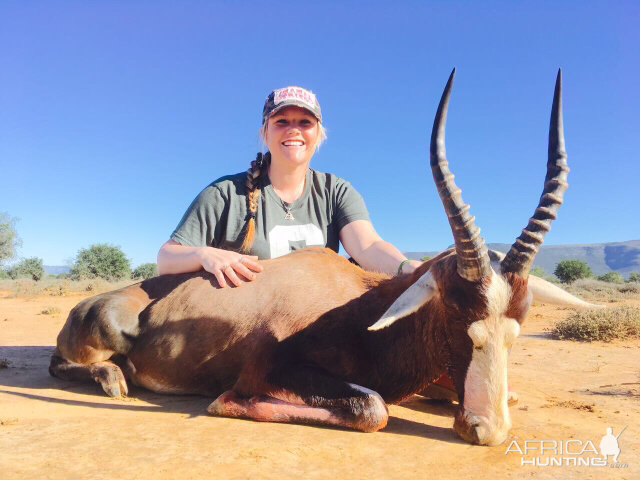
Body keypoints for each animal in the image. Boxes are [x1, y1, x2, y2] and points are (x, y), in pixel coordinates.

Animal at [51, 70, 584, 446]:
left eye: (517, 329)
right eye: (457, 317)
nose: (486, 431)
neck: (359, 308)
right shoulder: (274, 370)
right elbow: (374, 408)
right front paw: (228, 403)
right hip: (99, 338)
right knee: (63, 364)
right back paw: (113, 379)